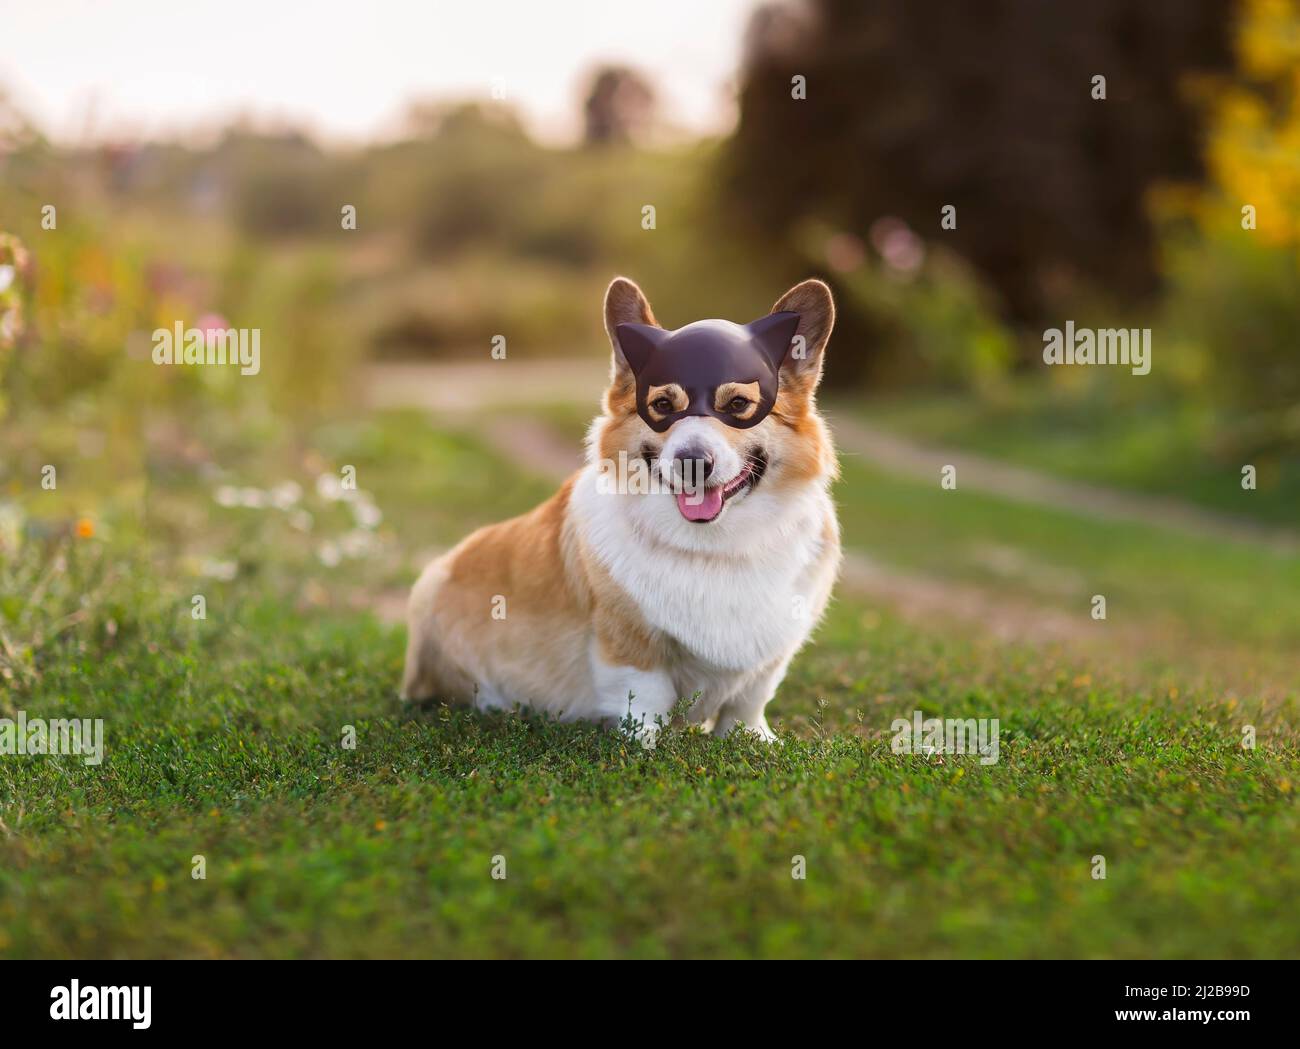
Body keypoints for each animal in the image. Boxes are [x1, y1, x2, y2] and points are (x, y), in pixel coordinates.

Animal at [397, 274, 842, 743]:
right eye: (662, 405)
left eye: (738, 405)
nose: (692, 461)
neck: (717, 545)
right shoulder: (628, 642)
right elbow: (646, 696)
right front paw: (645, 744)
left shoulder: (771, 657)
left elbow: (750, 700)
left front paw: (752, 738)